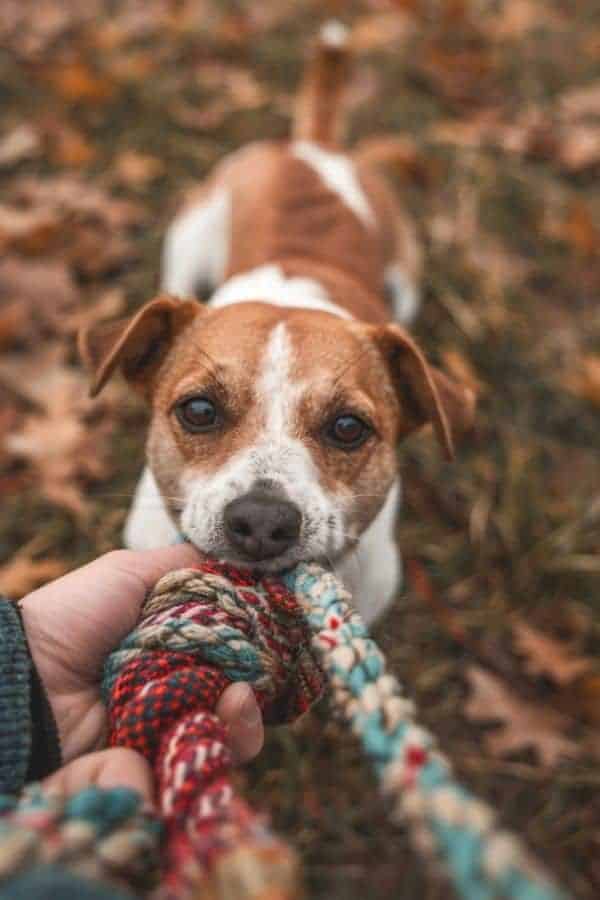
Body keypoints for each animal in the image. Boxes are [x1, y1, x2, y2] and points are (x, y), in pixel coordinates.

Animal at [79, 21, 474, 624]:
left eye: (348, 427)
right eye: (198, 411)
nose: (263, 521)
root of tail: (313, 147)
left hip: (406, 275)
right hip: (189, 237)